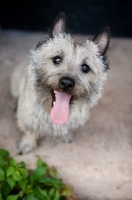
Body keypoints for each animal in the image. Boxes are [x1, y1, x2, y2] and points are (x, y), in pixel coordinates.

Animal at [10, 12, 110, 154]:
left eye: (85, 68)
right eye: (57, 59)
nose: (67, 83)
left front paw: (65, 135)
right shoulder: (28, 116)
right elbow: (30, 131)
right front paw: (27, 143)